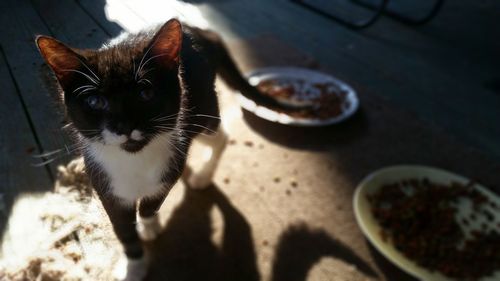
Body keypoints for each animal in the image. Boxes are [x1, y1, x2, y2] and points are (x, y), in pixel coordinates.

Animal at [36, 18, 282, 278]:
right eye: (95, 101)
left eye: (146, 93)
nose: (125, 126)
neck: (134, 160)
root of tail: (199, 29)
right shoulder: (106, 186)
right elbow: (124, 231)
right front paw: (133, 267)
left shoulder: (169, 167)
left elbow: (151, 202)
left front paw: (149, 226)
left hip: (202, 107)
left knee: (218, 135)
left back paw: (203, 176)